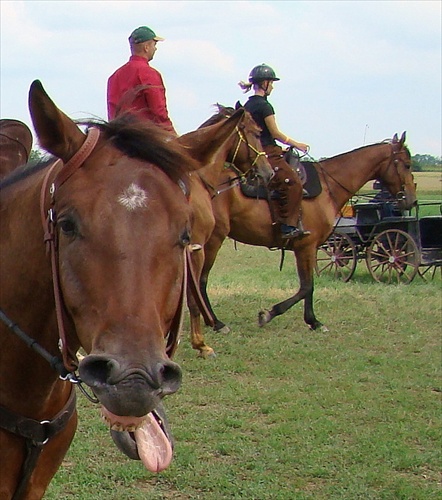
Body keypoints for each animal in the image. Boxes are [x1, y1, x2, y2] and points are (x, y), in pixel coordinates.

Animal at [196, 129, 414, 340]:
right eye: (407, 164)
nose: (410, 200)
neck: (328, 186)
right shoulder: (306, 246)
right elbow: (306, 287)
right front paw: (271, 314)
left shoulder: (309, 248)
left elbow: (308, 285)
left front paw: (312, 321)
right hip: (213, 240)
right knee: (201, 280)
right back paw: (216, 323)